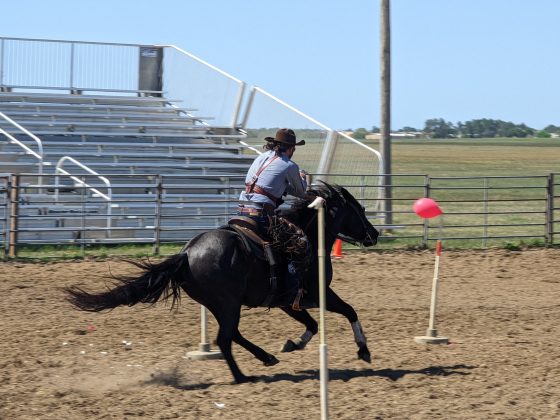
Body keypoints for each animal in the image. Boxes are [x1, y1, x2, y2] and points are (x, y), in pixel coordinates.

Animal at [65, 181, 380, 384]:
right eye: (360, 210)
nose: (374, 234)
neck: (311, 236)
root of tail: (186, 253)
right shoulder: (317, 293)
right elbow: (349, 311)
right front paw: (363, 351)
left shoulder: (288, 302)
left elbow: (312, 325)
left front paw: (292, 344)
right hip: (228, 304)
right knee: (225, 339)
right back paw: (241, 376)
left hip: (221, 304)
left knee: (232, 335)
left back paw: (266, 358)